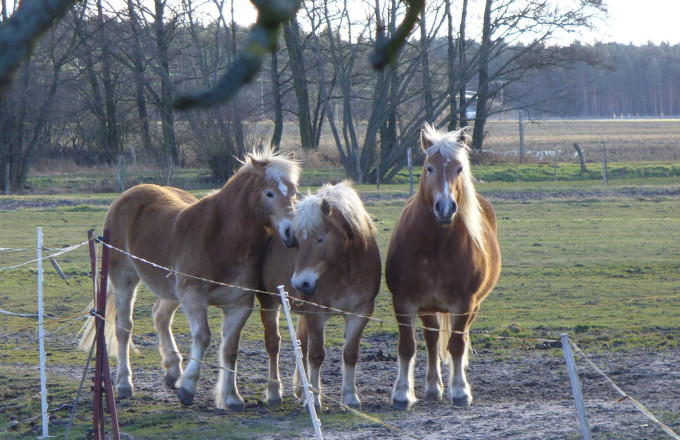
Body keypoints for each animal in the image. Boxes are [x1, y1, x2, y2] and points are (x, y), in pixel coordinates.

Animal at [79, 149, 300, 410]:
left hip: (171, 290)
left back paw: (173, 370)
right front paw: (188, 388)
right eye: (269, 193)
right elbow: (203, 337)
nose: (292, 233)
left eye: (294, 191)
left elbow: (231, 349)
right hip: (125, 279)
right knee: (124, 328)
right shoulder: (193, 297)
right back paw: (125, 384)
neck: (223, 237)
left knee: (160, 316)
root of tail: (126, 196)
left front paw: (231, 397)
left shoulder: (239, 304)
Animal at [259, 181, 381, 409]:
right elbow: (316, 355)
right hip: (269, 302)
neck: (344, 269)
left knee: (301, 343)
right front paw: (314, 400)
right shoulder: (316, 312)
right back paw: (274, 393)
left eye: (321, 238)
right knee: (273, 345)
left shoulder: (360, 312)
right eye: (298, 241)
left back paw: (301, 390)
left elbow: (350, 354)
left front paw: (350, 397)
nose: (301, 282)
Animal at [385, 124, 501, 410]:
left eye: (459, 168)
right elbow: (407, 346)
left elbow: (457, 345)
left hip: (471, 306)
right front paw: (402, 394)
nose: (445, 208)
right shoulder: (404, 300)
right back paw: (432, 387)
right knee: (432, 338)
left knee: (453, 339)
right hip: (428, 307)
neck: (437, 244)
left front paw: (460, 391)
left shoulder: (464, 303)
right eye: (429, 167)